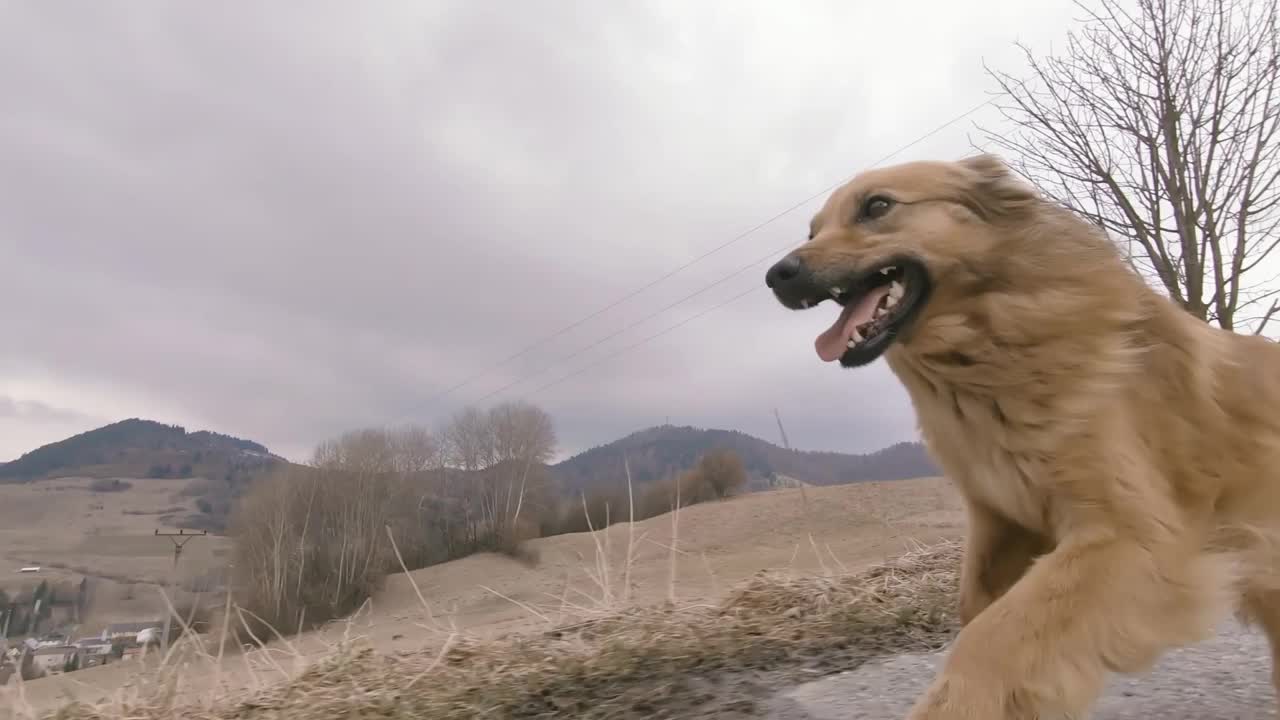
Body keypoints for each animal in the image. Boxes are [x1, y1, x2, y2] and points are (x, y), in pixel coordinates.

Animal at [762, 152, 1280, 717]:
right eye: (813, 230)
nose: (778, 276)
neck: (998, 346)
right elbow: (976, 607)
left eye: (877, 206)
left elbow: (995, 635)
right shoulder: (1002, 518)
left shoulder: (1133, 535)